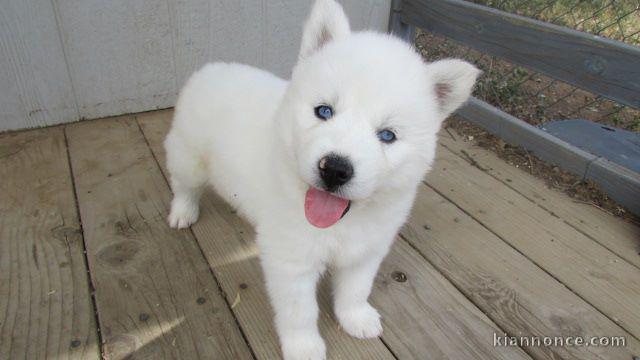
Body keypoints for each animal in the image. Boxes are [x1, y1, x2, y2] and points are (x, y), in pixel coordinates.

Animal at [164, 1, 476, 358]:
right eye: (324, 111)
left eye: (387, 135)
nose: (335, 169)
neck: (343, 221)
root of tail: (210, 68)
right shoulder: (291, 258)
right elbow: (300, 311)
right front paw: (304, 347)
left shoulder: (367, 250)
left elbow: (356, 289)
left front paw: (356, 318)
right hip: (188, 155)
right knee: (183, 185)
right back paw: (182, 212)